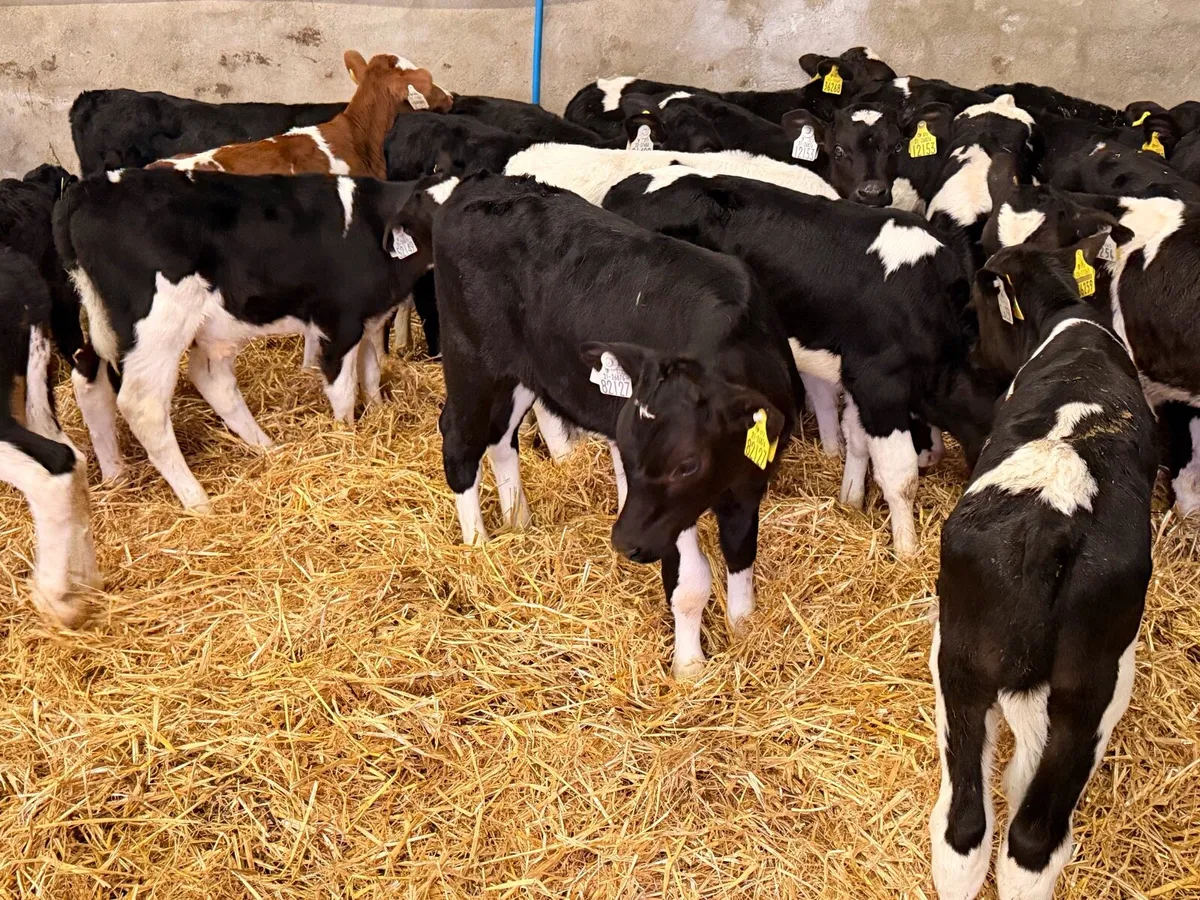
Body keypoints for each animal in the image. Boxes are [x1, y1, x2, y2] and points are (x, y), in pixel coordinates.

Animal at [53, 168, 435, 511]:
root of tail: (89, 187)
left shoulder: (369, 318)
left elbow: (370, 372)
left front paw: (381, 415)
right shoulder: (339, 323)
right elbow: (344, 389)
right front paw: (348, 441)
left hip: (116, 325)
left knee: (94, 376)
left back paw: (118, 473)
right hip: (157, 327)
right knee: (143, 405)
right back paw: (198, 501)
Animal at [396, 171, 797, 678]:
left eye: (687, 464)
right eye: (629, 449)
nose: (624, 543)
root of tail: (476, 183)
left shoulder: (749, 482)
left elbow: (741, 552)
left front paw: (745, 629)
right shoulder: (667, 516)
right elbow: (691, 583)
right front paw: (690, 668)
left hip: (526, 369)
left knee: (502, 437)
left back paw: (518, 520)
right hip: (471, 358)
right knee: (460, 437)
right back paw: (478, 542)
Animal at [602, 167, 1002, 557]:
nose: (933, 455)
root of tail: (626, 185)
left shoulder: (858, 379)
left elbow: (857, 440)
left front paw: (851, 498)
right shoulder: (881, 385)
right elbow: (900, 476)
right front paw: (907, 550)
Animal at [931, 235, 1155, 900]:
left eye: (980, 307)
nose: (973, 353)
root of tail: (1051, 519)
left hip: (959, 659)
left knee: (970, 832)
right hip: (1088, 689)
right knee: (1022, 838)